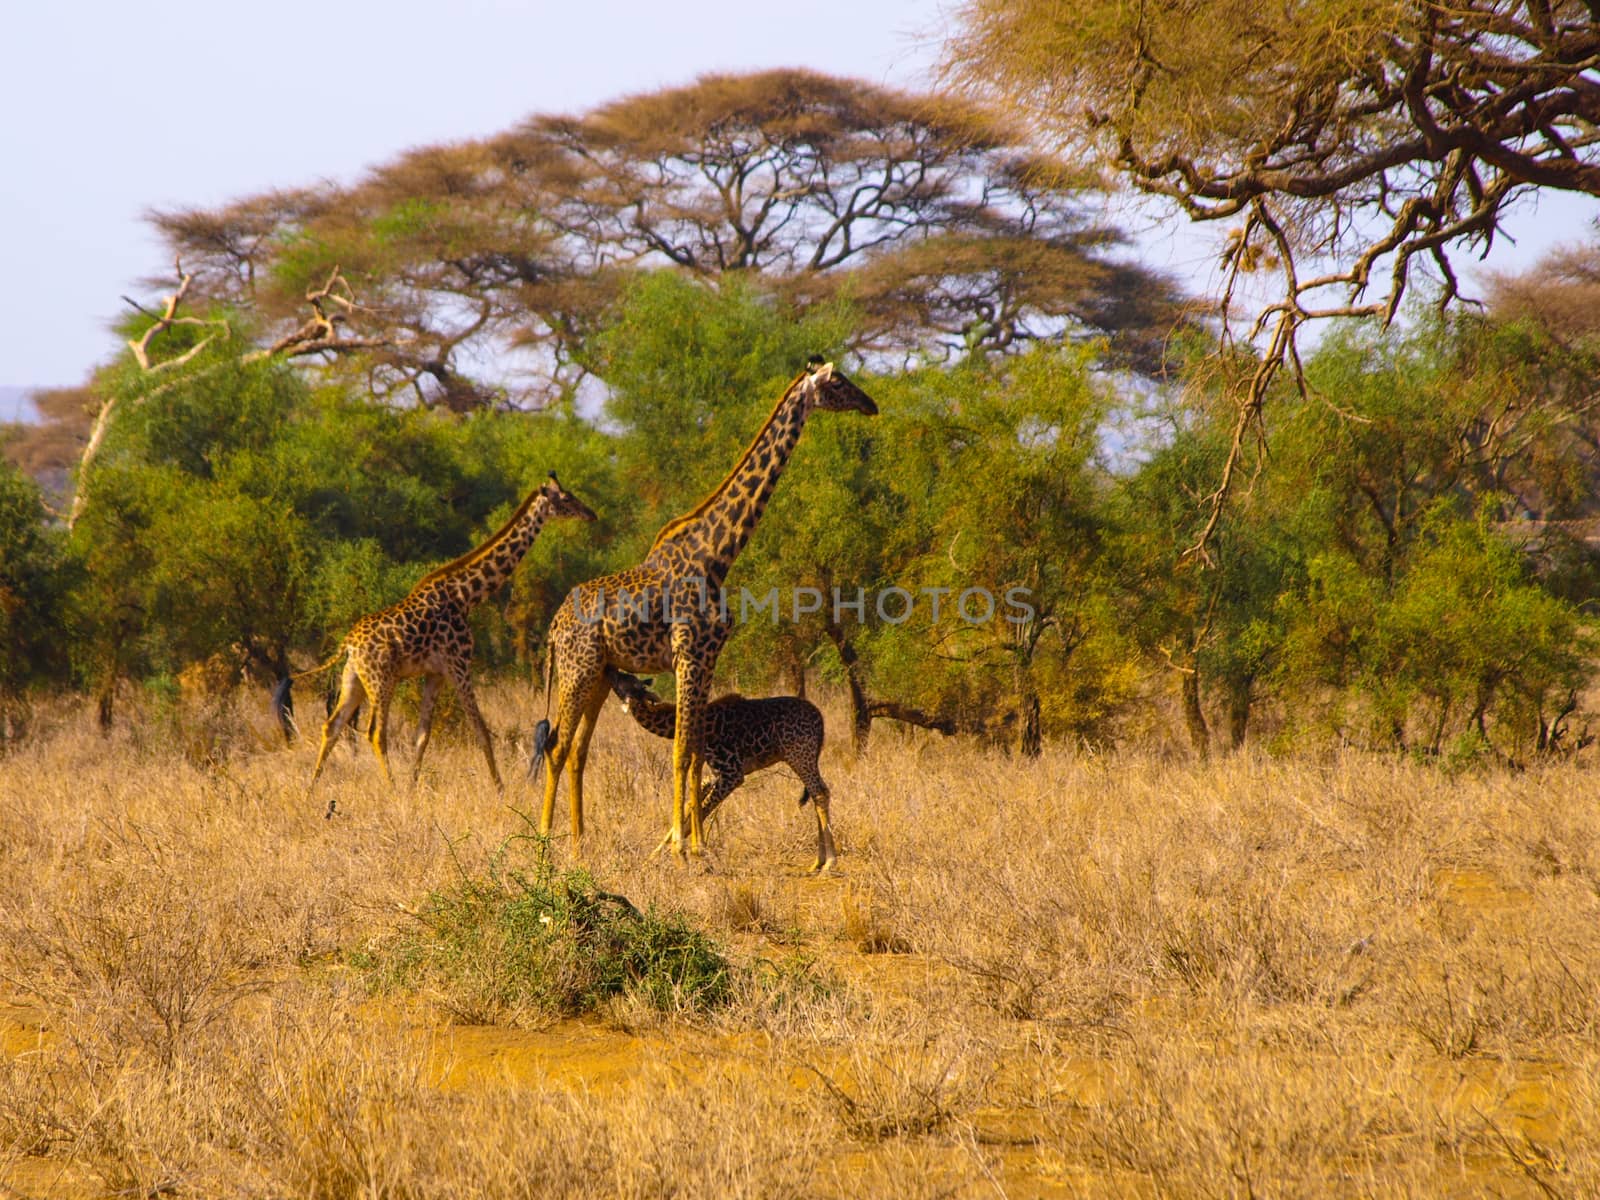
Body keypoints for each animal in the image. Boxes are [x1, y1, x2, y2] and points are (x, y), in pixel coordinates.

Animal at [304, 473, 595, 809]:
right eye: (566, 498)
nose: (590, 513)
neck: (466, 595)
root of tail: (348, 644)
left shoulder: (436, 673)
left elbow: (423, 735)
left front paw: (413, 787)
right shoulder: (459, 665)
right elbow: (481, 730)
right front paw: (500, 791)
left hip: (354, 678)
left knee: (332, 725)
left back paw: (310, 789)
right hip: (381, 679)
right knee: (375, 732)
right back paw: (390, 789)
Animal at [604, 672, 838, 870]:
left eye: (623, 679)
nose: (611, 671)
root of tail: (821, 720)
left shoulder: (732, 774)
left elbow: (697, 813)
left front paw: (689, 855)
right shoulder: (715, 773)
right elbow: (691, 805)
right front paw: (653, 856)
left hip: (799, 754)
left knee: (819, 792)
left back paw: (829, 863)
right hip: (803, 756)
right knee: (819, 792)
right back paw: (817, 862)